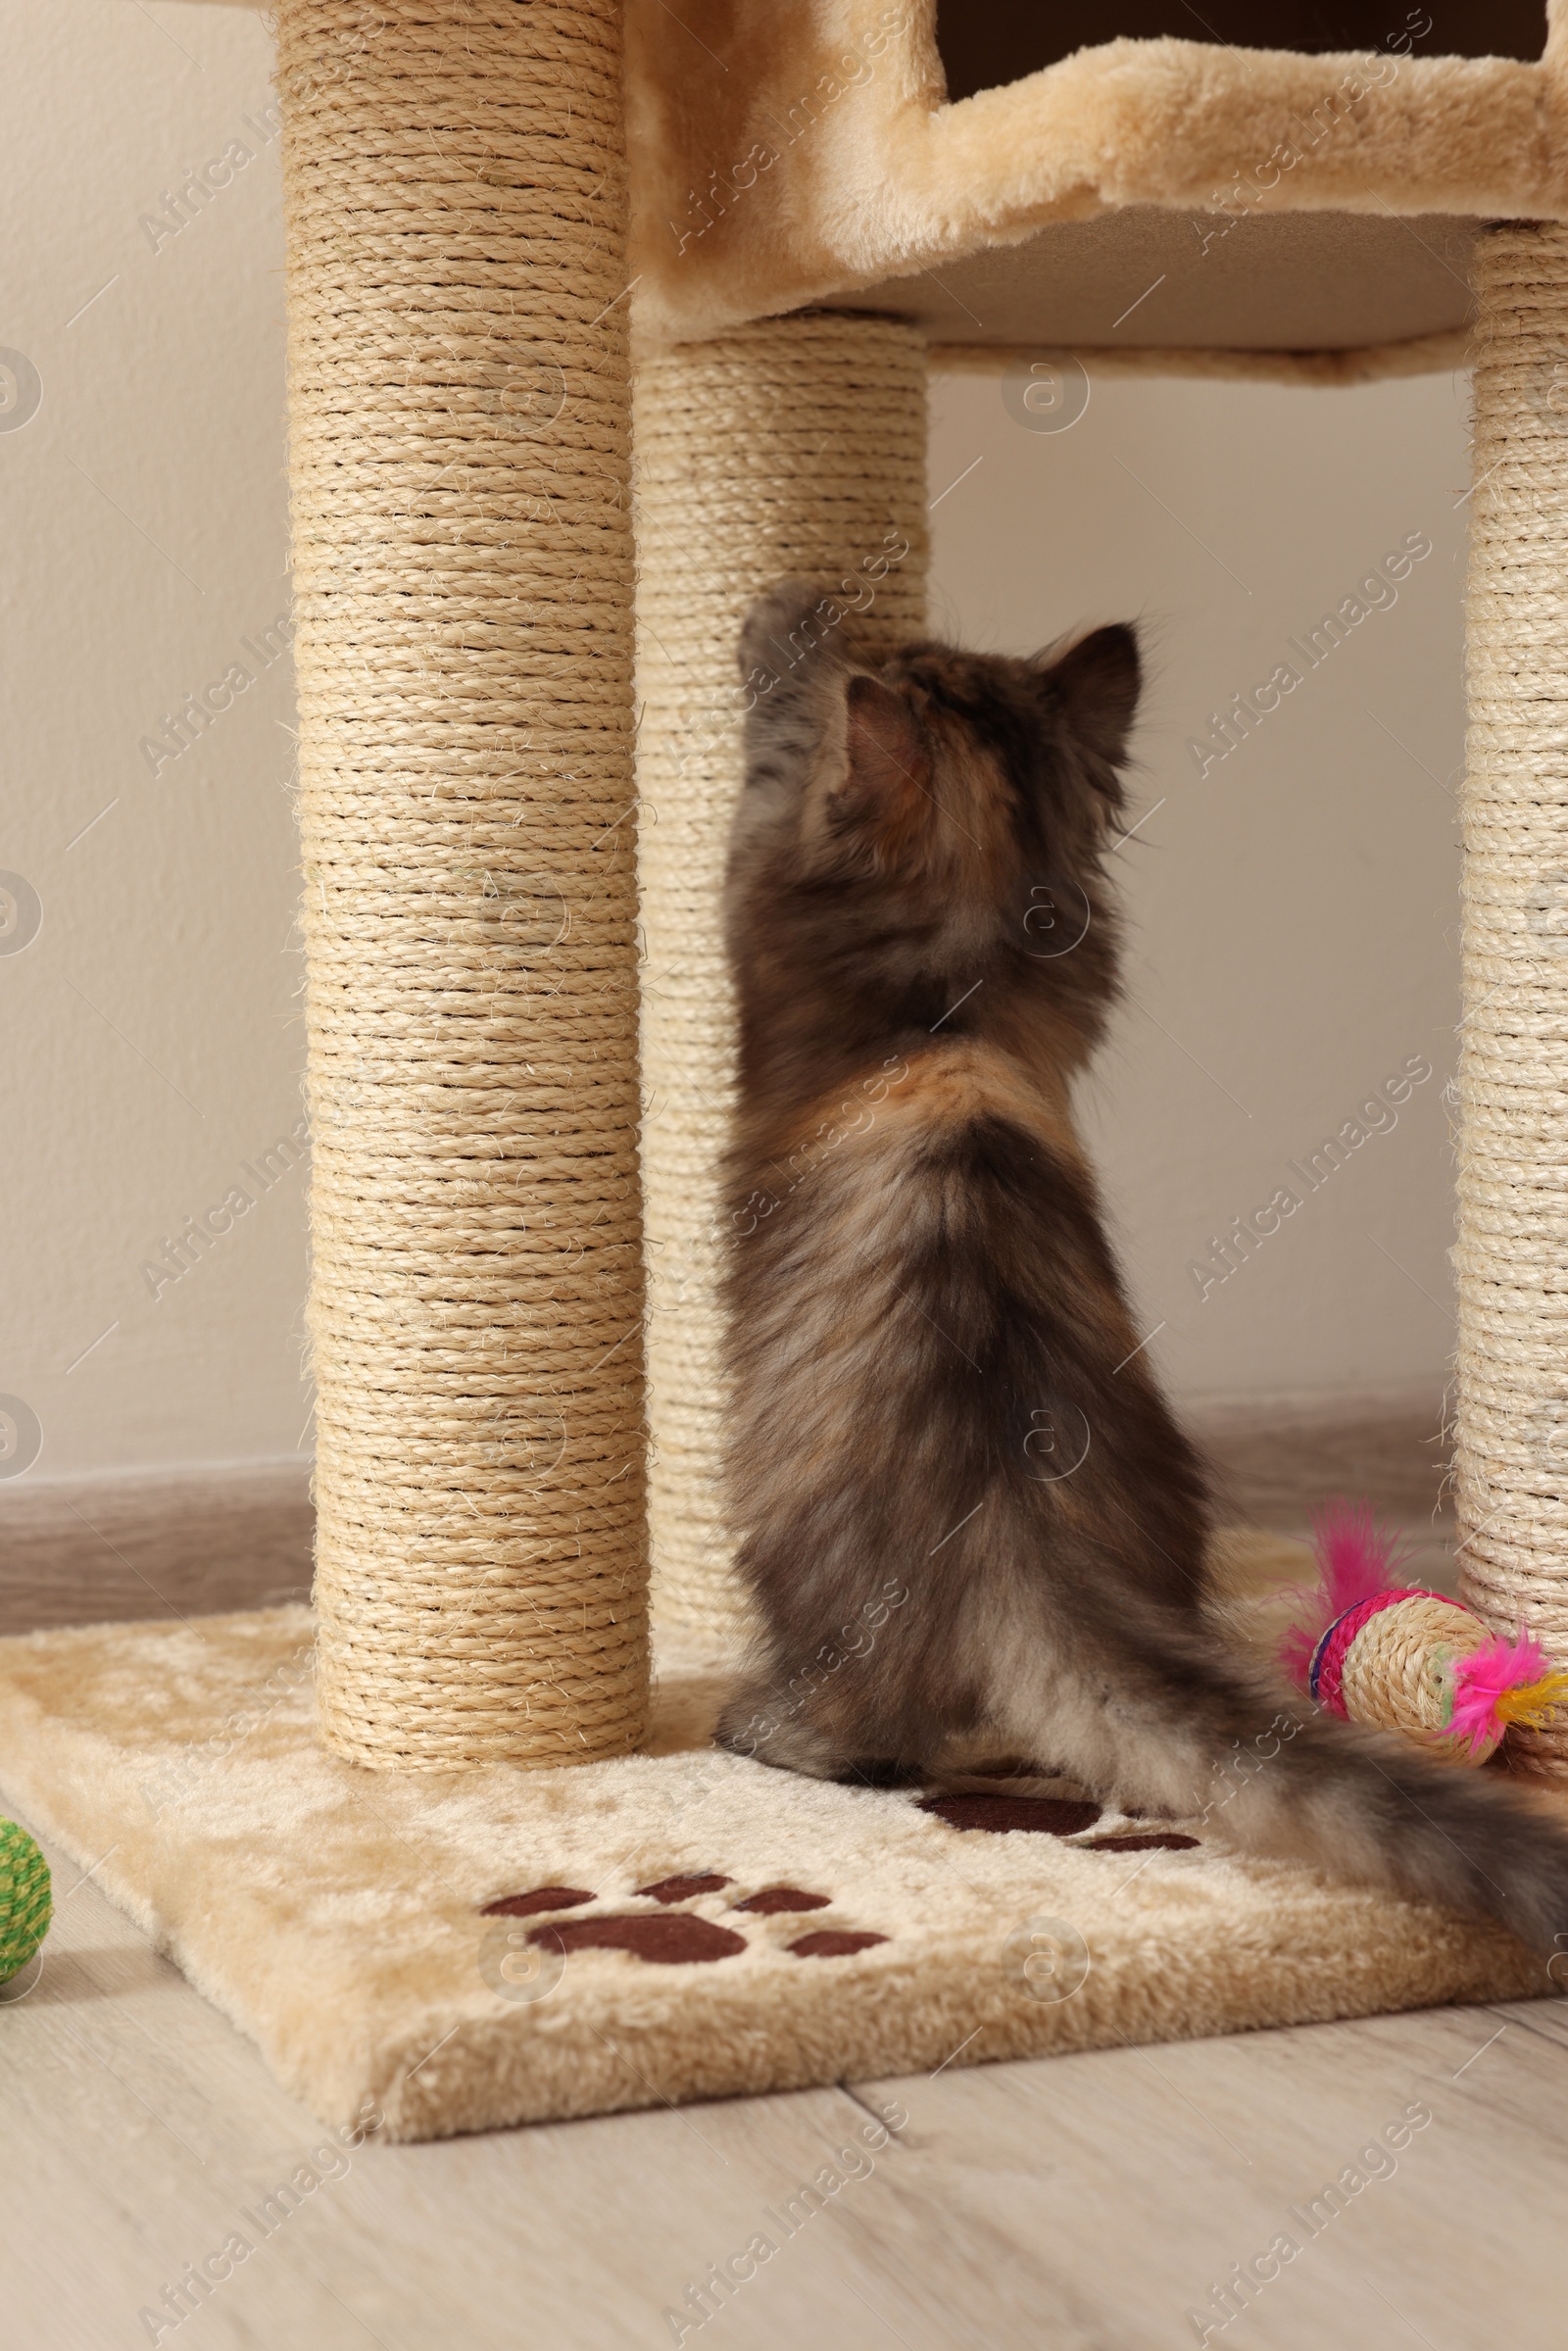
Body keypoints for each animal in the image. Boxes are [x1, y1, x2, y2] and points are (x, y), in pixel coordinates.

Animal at [719, 578, 1568, 1955]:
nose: (882, 627)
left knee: (869, 1745)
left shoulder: (764, 905)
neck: (957, 1000)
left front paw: (783, 620)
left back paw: (757, 1723)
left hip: (799, 1571)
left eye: (912, 660)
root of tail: (1018, 1532)